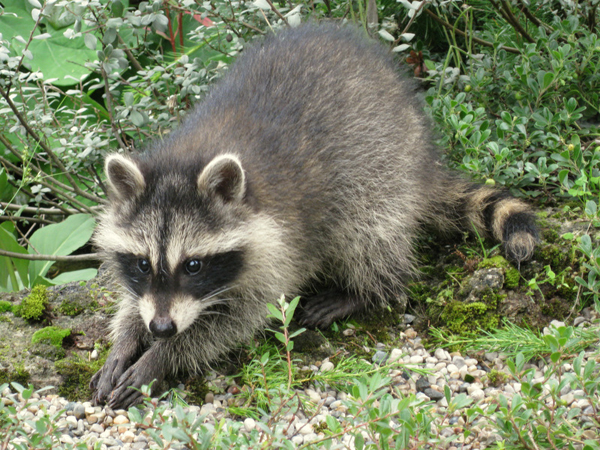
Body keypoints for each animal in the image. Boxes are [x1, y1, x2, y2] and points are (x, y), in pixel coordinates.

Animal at [90, 23, 540, 408]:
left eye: (193, 265)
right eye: (143, 264)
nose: (162, 330)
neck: (187, 158)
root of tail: (425, 155)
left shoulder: (276, 250)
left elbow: (235, 319)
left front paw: (162, 357)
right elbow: (137, 301)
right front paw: (127, 339)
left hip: (381, 162)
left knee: (371, 233)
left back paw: (365, 291)